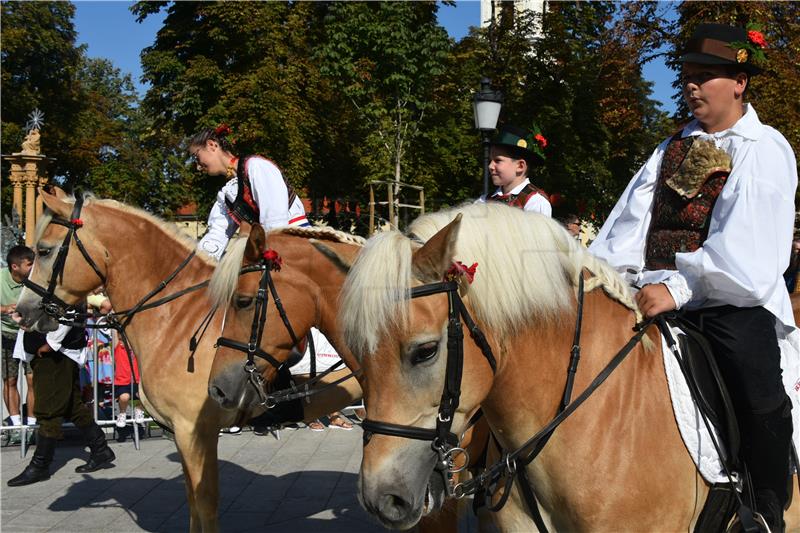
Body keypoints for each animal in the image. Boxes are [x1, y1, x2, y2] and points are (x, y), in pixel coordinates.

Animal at [13, 189, 360, 528]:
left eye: (43, 250)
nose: (22, 313)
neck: (176, 318)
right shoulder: (182, 436)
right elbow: (193, 504)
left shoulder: (194, 431)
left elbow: (205, 503)